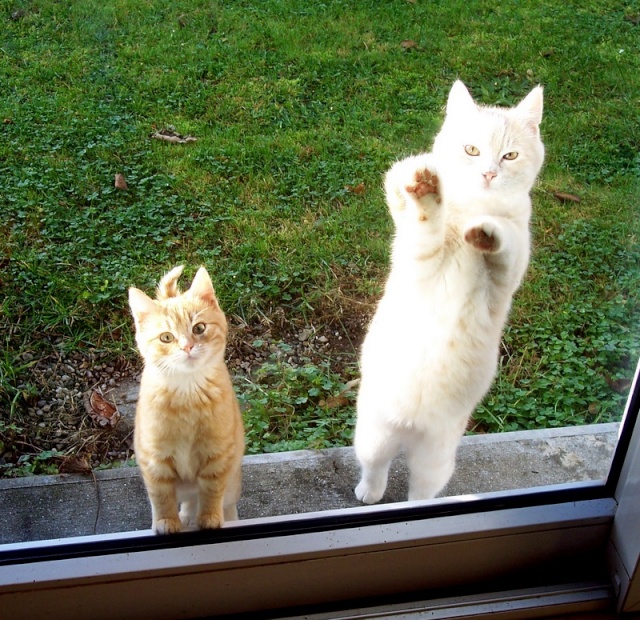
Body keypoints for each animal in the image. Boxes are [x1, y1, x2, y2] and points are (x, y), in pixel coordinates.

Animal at [129, 266, 244, 532]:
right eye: (166, 338)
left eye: (199, 328)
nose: (187, 347)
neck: (187, 394)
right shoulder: (154, 460)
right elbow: (161, 496)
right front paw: (166, 521)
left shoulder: (218, 454)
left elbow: (212, 491)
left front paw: (210, 518)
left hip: (233, 478)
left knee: (223, 500)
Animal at [356, 80, 544, 504]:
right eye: (472, 150)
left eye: (509, 155)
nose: (489, 173)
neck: (475, 206)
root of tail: (408, 429)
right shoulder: (421, 255)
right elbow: (421, 213)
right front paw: (423, 185)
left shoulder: (510, 269)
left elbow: (504, 241)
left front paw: (486, 231)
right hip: (372, 435)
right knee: (375, 468)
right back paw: (367, 493)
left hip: (436, 459)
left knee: (419, 493)